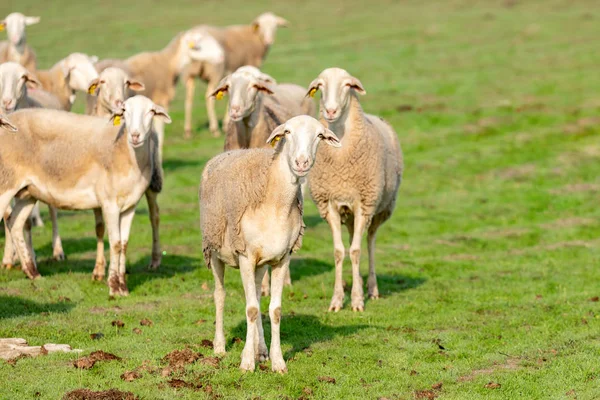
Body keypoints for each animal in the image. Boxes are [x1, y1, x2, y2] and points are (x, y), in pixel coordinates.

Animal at [0, 95, 170, 296]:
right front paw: (114, 287)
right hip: (5, 184)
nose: (135, 136)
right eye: (125, 111)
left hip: (28, 192)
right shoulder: (109, 203)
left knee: (15, 223)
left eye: (151, 111)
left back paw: (32, 272)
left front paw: (123, 287)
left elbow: (124, 244)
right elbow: (115, 243)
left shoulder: (130, 206)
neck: (127, 154)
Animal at [200, 114, 340, 374]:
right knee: (220, 294)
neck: (274, 201)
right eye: (287, 132)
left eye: (319, 135)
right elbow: (252, 309)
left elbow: (273, 310)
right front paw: (246, 363)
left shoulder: (282, 258)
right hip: (214, 250)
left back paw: (261, 349)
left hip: (261, 263)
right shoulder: (245, 255)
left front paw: (277, 361)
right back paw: (220, 346)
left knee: (255, 294)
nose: (302, 162)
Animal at [304, 68, 404, 312]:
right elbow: (340, 252)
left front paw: (358, 300)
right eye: (320, 86)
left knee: (368, 243)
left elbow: (357, 251)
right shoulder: (330, 206)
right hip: (348, 215)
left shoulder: (363, 205)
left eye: (348, 85)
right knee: (351, 243)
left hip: (379, 210)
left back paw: (372, 289)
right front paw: (337, 300)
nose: (330, 111)